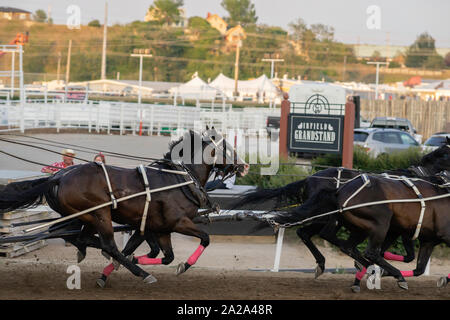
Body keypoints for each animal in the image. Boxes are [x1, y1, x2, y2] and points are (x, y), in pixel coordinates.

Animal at [0, 129, 246, 284]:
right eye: (227, 147)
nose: (244, 166)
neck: (179, 179)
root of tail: (59, 177)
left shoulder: (160, 229)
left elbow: (166, 256)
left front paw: (119, 267)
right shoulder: (178, 223)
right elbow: (205, 238)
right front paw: (183, 266)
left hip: (86, 217)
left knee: (80, 237)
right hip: (100, 213)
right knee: (108, 245)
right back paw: (142, 273)